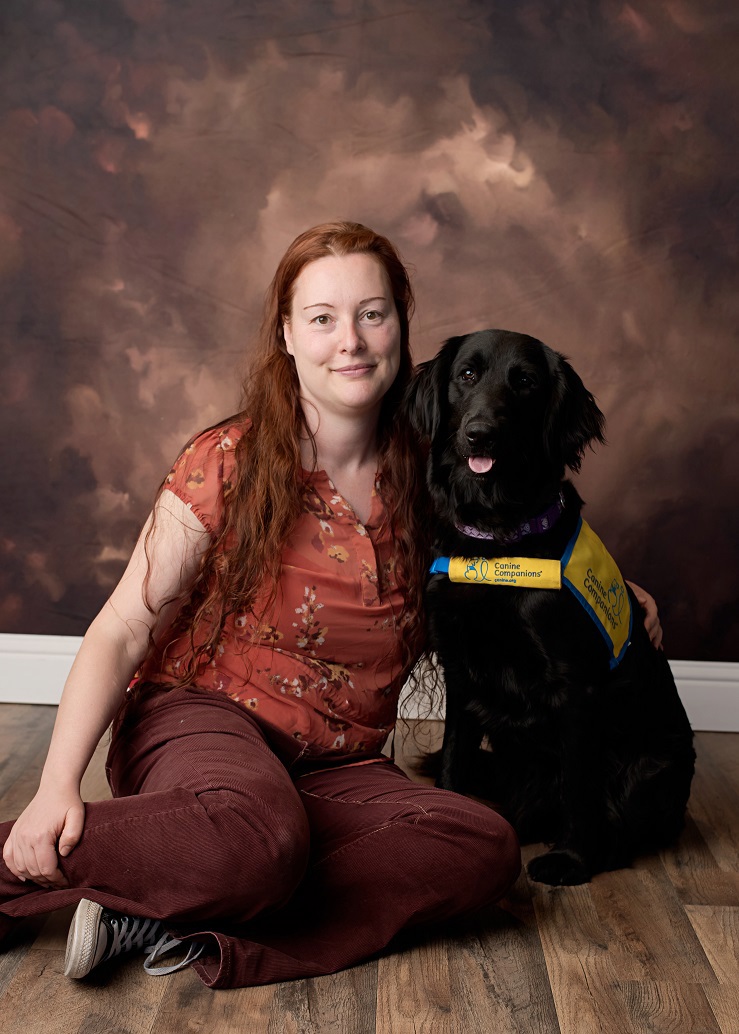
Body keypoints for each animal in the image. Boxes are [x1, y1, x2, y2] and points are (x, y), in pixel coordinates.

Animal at [407, 326, 698, 885]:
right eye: (467, 374)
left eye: (524, 383)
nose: (480, 435)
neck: (499, 542)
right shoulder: (460, 666)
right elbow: (454, 755)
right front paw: (448, 817)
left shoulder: (575, 686)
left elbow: (578, 786)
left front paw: (571, 859)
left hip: (655, 766)